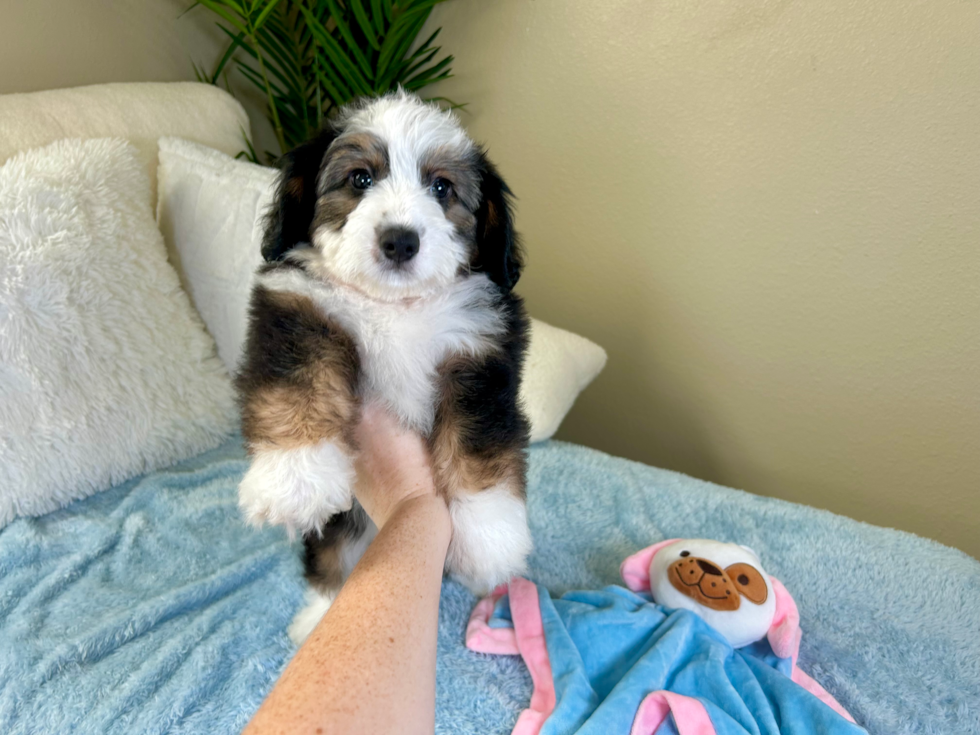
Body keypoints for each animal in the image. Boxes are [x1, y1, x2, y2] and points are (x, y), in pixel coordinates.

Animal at [234, 92, 532, 644]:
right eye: (359, 179)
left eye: (442, 187)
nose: (400, 240)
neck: (396, 307)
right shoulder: (301, 309)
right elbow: (299, 387)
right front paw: (294, 477)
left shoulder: (479, 354)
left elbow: (480, 443)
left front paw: (490, 534)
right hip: (342, 523)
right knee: (331, 559)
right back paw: (320, 615)